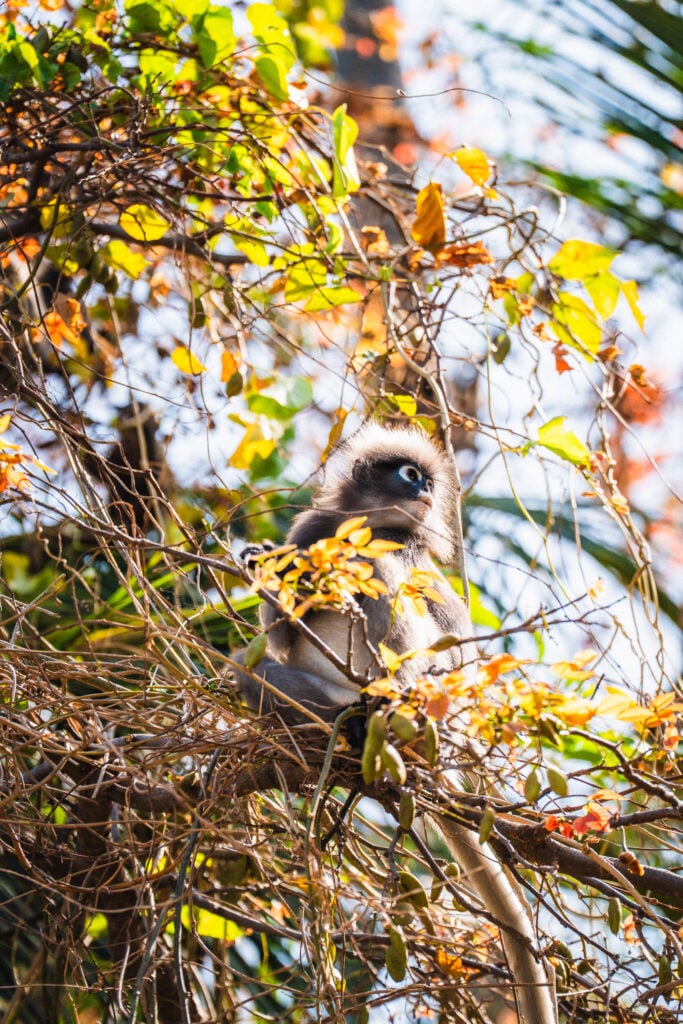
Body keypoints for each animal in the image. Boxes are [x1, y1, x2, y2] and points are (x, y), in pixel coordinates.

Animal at [232, 422, 558, 1024]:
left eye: (426, 479)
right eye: (411, 475)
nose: (426, 490)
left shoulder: (406, 548)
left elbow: (445, 631)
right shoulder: (313, 530)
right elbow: (280, 638)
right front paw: (269, 570)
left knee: (384, 576)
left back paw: (387, 712)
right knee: (252, 672)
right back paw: (345, 731)